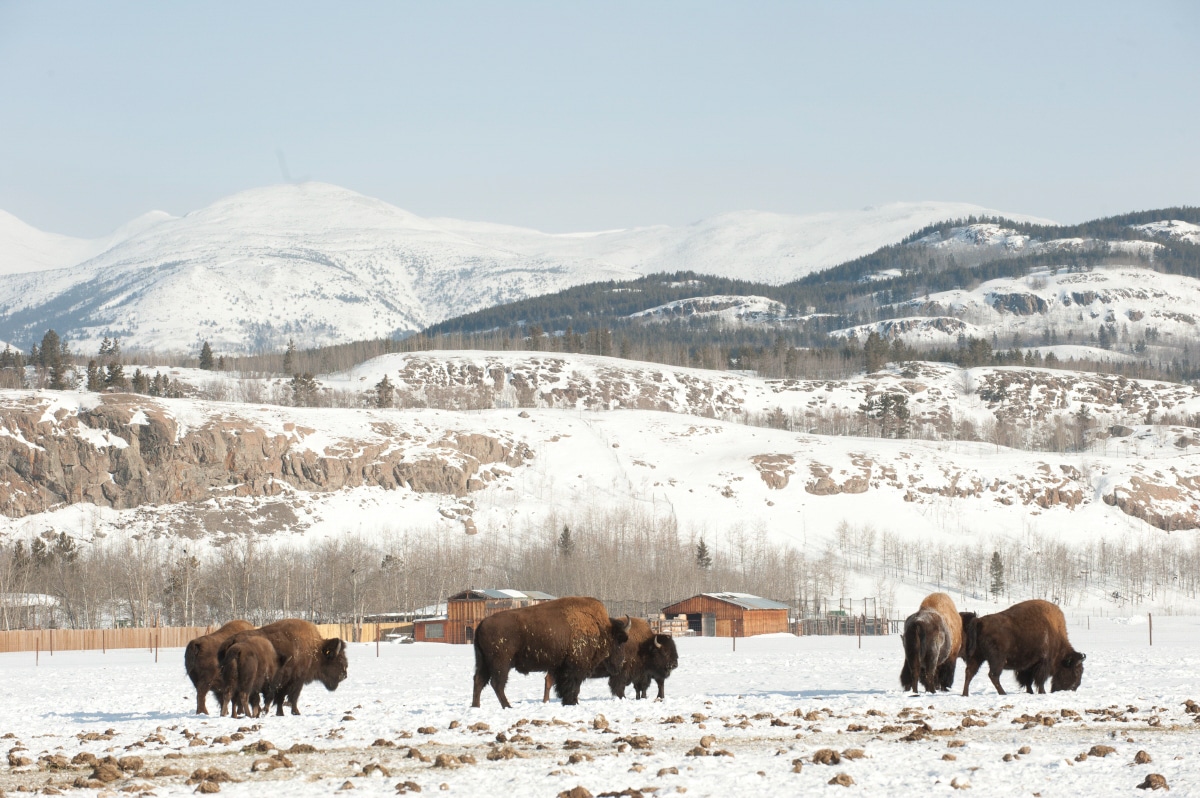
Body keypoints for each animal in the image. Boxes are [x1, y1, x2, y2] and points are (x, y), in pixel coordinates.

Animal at [218, 619, 348, 710]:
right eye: (339, 658)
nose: (345, 674)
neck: (315, 649)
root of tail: (232, 641)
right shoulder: (296, 681)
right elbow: (293, 697)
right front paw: (294, 711)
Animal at [472, 595, 633, 705]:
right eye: (620, 642)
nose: (620, 663)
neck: (600, 628)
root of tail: (482, 623)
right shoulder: (574, 668)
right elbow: (573, 687)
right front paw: (572, 702)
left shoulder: (559, 668)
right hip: (501, 663)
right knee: (497, 684)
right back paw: (507, 706)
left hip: (483, 662)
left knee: (479, 680)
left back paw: (476, 706)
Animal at [542, 614, 681, 705]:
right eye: (664, 652)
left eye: (674, 649)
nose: (674, 664)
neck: (644, 646)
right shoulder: (622, 674)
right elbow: (620, 687)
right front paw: (623, 698)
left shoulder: (641, 675)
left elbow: (641, 687)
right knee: (549, 681)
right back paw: (547, 701)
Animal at [955, 595, 1089, 696]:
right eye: (1077, 671)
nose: (1074, 688)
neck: (1054, 633)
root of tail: (979, 621)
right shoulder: (1043, 663)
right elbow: (1039, 680)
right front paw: (1042, 692)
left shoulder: (1027, 665)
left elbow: (1027, 680)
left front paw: (1030, 692)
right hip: (997, 660)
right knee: (993, 675)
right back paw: (1003, 693)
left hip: (977, 657)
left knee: (970, 673)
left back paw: (965, 694)